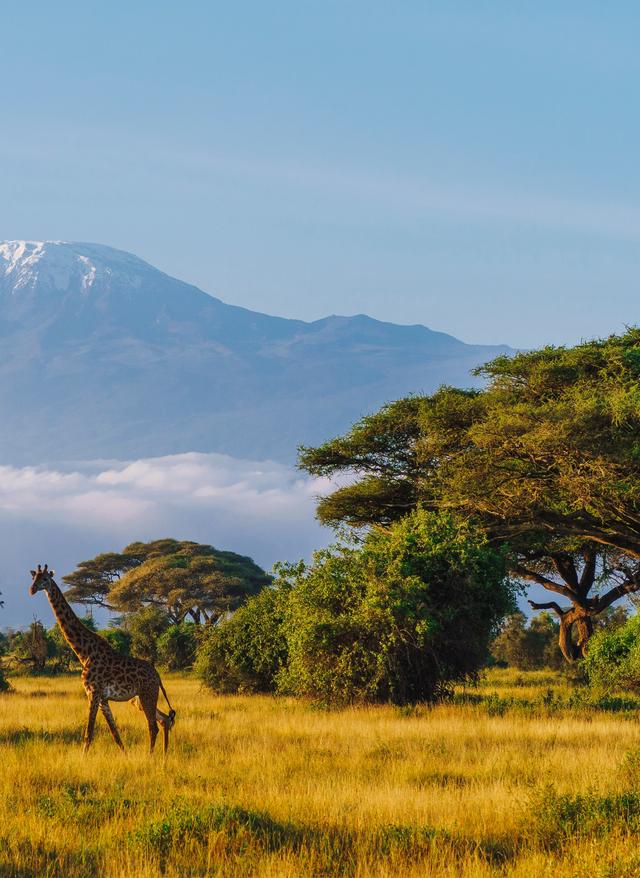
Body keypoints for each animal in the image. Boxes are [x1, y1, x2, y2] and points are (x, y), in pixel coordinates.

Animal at [29, 564, 176, 754]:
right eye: (33, 578)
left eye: (45, 579)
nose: (32, 589)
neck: (84, 652)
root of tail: (157, 676)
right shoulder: (103, 699)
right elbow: (115, 734)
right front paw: (125, 756)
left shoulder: (93, 692)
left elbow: (88, 733)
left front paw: (83, 759)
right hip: (139, 699)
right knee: (164, 719)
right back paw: (164, 756)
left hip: (147, 694)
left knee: (153, 726)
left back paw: (150, 757)